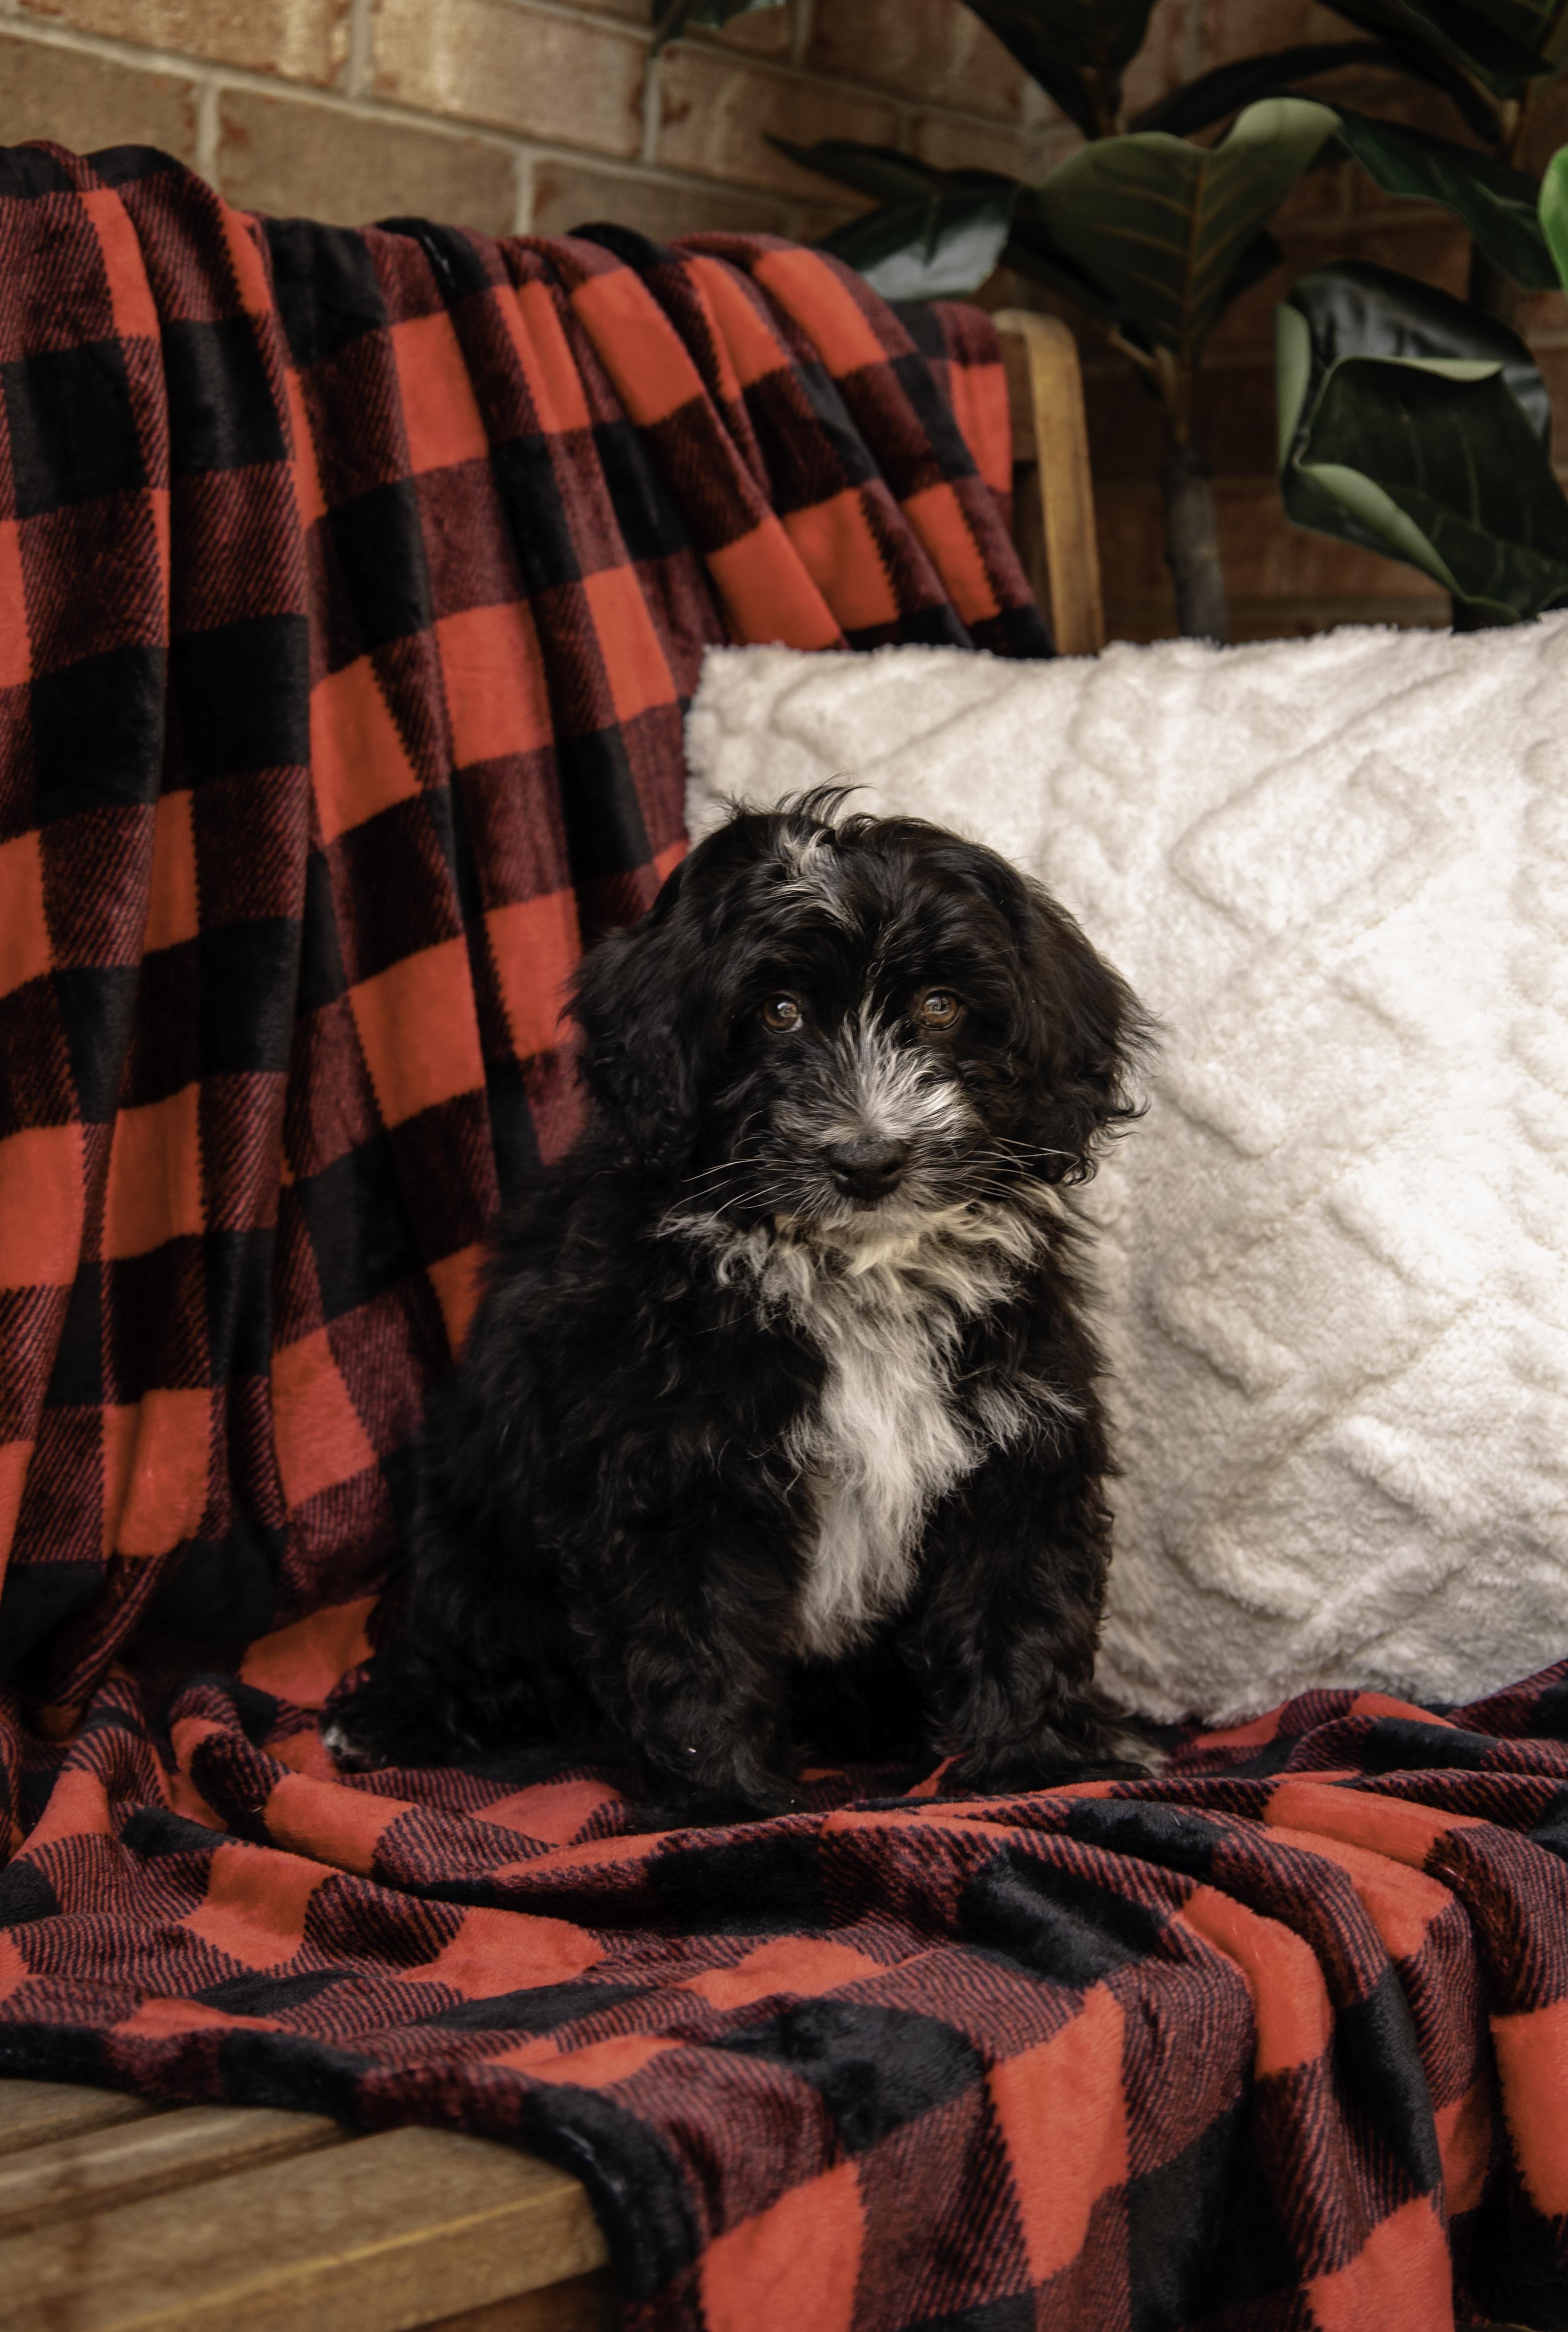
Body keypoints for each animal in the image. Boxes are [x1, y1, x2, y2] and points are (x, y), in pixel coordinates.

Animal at [326, 789, 1155, 1818]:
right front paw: (722, 1801)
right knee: (469, 1633)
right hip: (471, 1526)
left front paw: (1029, 1762)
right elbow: (696, 1638)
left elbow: (1020, 1599)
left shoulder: (1018, 1435)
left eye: (940, 1006)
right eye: (778, 1012)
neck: (852, 1268)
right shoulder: (675, 1465)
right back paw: (393, 1712)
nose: (869, 1160)